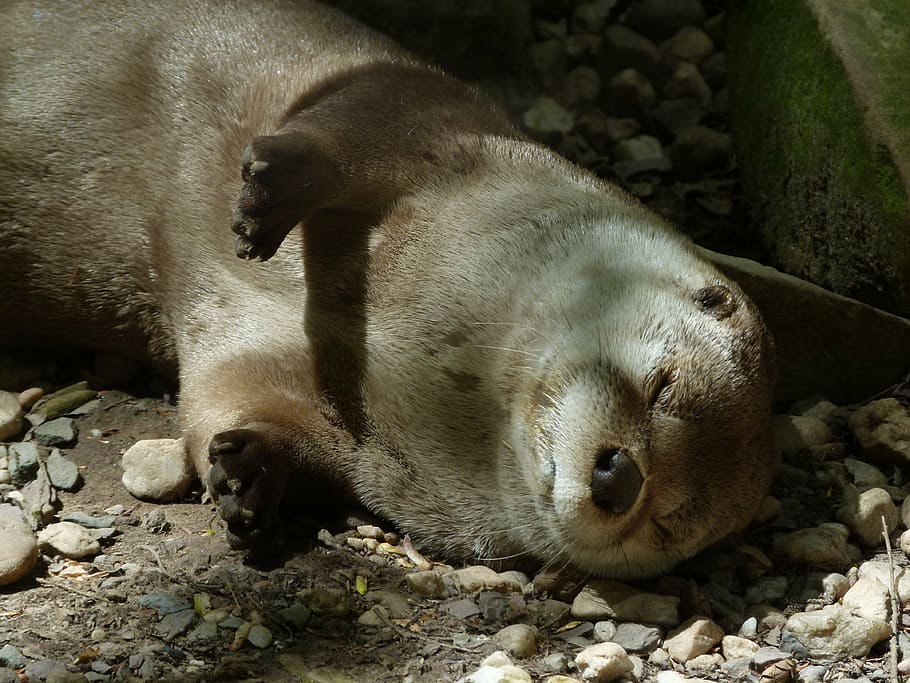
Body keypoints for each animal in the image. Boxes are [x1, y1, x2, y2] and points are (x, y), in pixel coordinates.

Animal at [0, 0, 776, 578]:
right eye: (660, 387)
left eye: (669, 520)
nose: (618, 477)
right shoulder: (422, 113)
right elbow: (347, 126)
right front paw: (267, 195)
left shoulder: (261, 367)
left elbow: (234, 407)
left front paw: (249, 475)